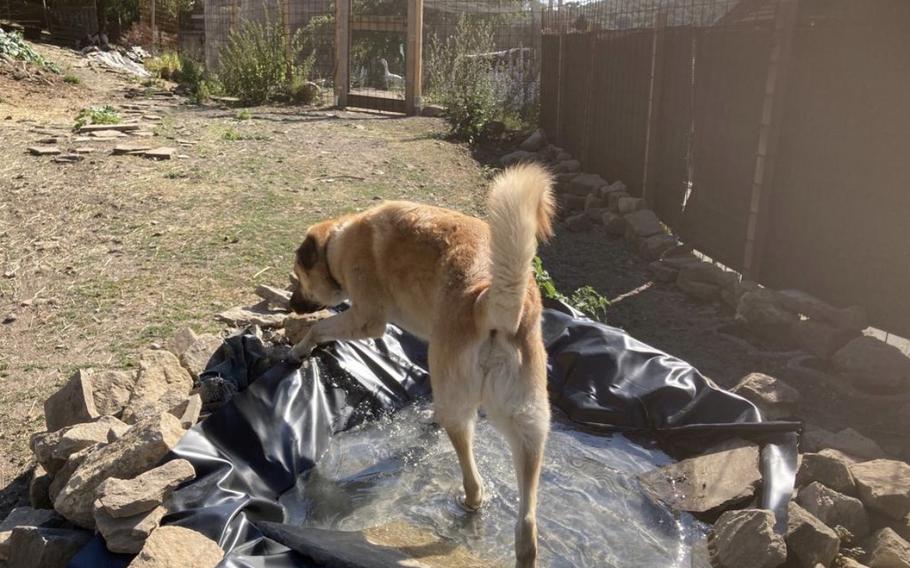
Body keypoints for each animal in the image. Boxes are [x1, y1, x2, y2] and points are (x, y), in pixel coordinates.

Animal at [288, 162, 556, 564]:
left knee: (473, 478)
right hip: (530, 424)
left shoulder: (366, 320)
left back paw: (466, 497)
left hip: (465, 412)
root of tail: (489, 301)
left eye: (297, 277)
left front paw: (298, 348)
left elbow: (320, 327)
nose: (291, 305)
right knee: (527, 523)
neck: (339, 239)